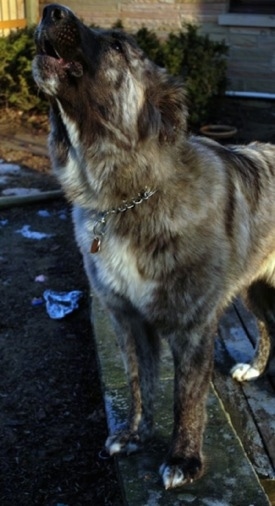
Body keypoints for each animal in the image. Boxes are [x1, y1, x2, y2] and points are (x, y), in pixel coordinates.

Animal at [33, 4, 275, 490]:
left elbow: (187, 398)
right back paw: (255, 368)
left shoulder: (193, 326)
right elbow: (138, 382)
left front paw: (184, 459)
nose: (51, 10)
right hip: (255, 291)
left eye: (118, 45)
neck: (124, 197)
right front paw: (134, 434)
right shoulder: (127, 319)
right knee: (266, 327)